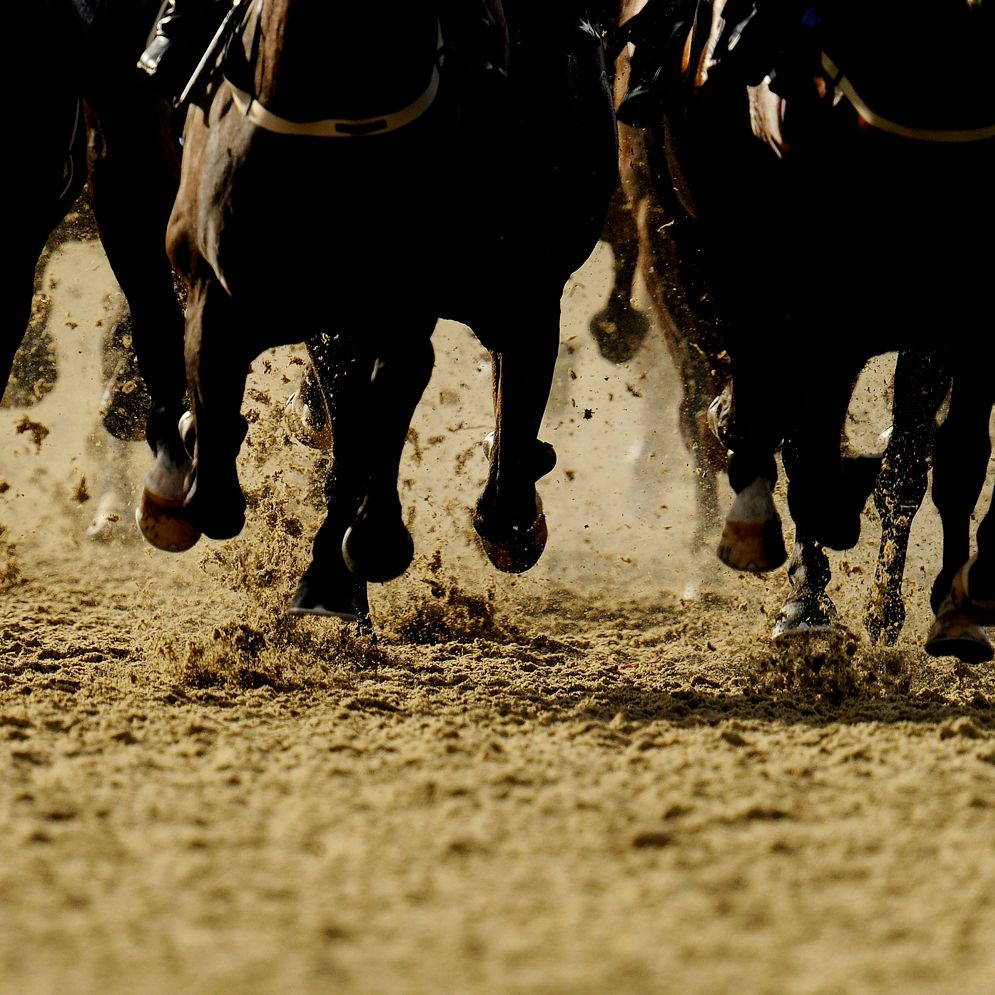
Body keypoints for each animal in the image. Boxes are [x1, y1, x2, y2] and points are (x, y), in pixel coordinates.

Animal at [616, 0, 994, 659]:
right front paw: (806, 603)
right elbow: (795, 440)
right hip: (668, 242)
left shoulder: (939, 309)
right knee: (707, 412)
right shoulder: (788, 289)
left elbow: (927, 459)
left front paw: (914, 611)